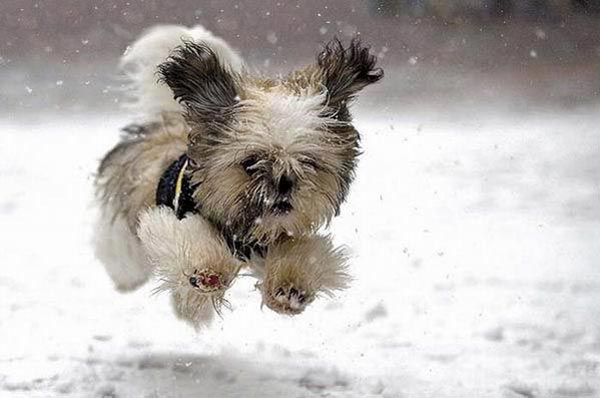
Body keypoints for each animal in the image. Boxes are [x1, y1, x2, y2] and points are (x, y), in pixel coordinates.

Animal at [94, 24, 384, 328]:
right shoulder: (171, 218)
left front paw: (290, 288)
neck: (245, 231)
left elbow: (306, 253)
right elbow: (190, 240)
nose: (284, 182)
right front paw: (207, 271)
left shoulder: (283, 238)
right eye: (251, 162)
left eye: (308, 162)